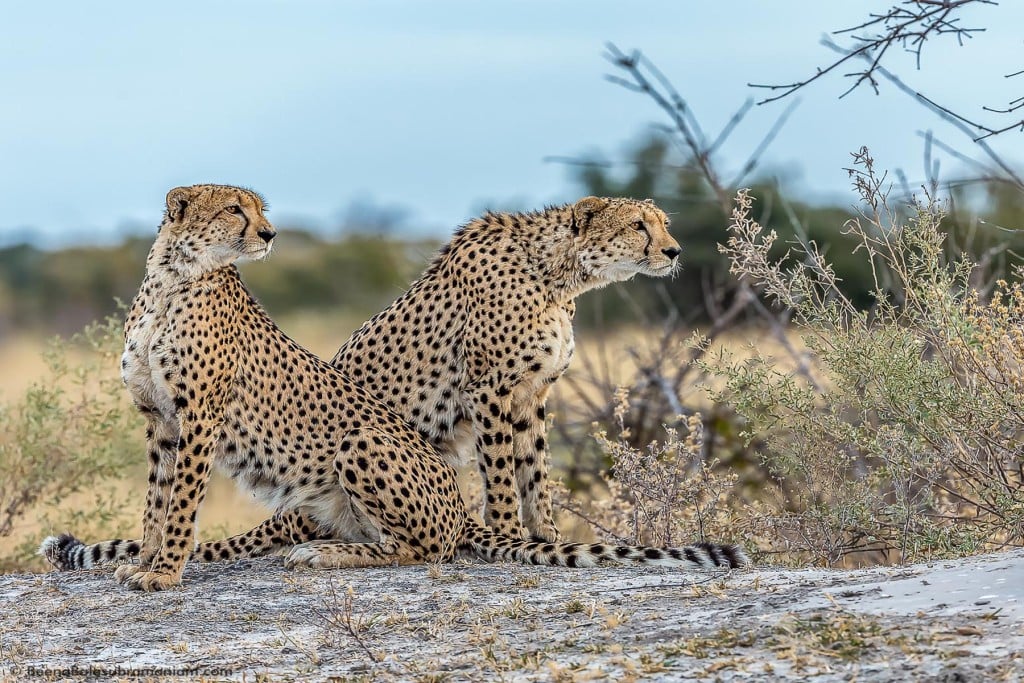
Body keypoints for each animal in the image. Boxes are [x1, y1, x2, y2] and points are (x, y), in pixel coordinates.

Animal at [39, 184, 745, 589]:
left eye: (659, 223)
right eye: (638, 226)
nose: (675, 251)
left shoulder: (529, 395)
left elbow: (534, 476)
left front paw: (536, 543)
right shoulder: (494, 389)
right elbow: (163, 501)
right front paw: (154, 568)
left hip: (362, 447)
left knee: (421, 546)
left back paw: (329, 557)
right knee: (414, 544)